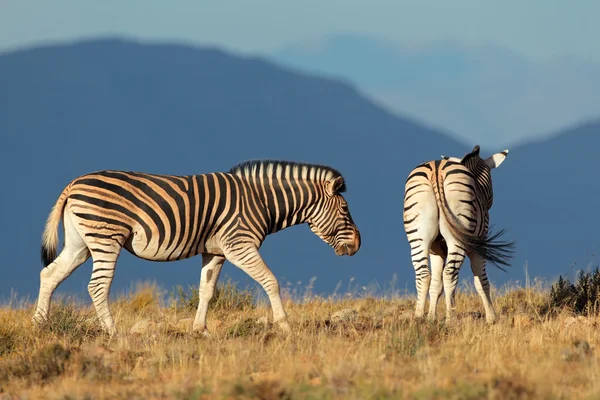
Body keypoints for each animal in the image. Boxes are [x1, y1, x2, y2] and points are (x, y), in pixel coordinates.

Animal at [35, 159, 360, 334]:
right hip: (106, 236)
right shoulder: (239, 244)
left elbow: (207, 290)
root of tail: (74, 183)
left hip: (80, 243)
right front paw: (284, 325)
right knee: (97, 286)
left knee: (49, 274)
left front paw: (199, 329)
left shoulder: (214, 251)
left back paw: (40, 324)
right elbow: (271, 281)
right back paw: (113, 333)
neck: (261, 201)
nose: (358, 244)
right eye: (345, 209)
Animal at [400, 145, 512, 324]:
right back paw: (450, 318)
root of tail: (437, 170)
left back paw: (418, 317)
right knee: (449, 274)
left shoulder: (437, 250)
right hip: (457, 237)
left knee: (424, 274)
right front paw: (491, 317)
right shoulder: (478, 246)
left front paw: (431, 317)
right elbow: (481, 281)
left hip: (418, 237)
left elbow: (436, 284)